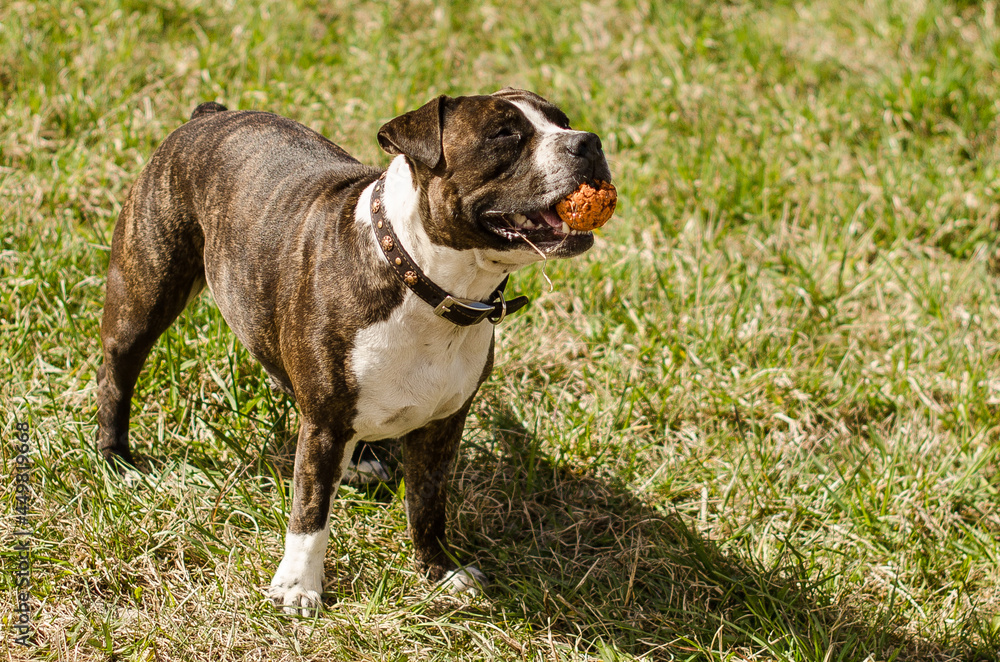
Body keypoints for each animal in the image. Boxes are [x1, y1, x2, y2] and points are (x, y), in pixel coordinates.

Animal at [95, 88, 608, 616]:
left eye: (563, 121)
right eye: (503, 134)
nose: (587, 141)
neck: (423, 281)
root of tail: (208, 117)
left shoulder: (443, 425)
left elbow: (428, 504)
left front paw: (440, 570)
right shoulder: (323, 424)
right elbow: (310, 512)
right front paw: (298, 585)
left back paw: (361, 462)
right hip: (143, 296)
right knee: (117, 374)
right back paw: (116, 459)